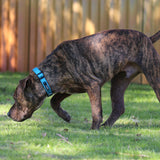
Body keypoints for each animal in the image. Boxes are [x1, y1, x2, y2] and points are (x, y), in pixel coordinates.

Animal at [7, 29, 160, 130]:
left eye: (15, 98)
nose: (8, 114)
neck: (47, 75)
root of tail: (148, 38)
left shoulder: (92, 85)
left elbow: (96, 111)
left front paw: (93, 129)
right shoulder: (68, 89)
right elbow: (53, 101)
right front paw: (65, 116)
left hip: (154, 76)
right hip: (119, 82)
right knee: (118, 108)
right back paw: (106, 126)